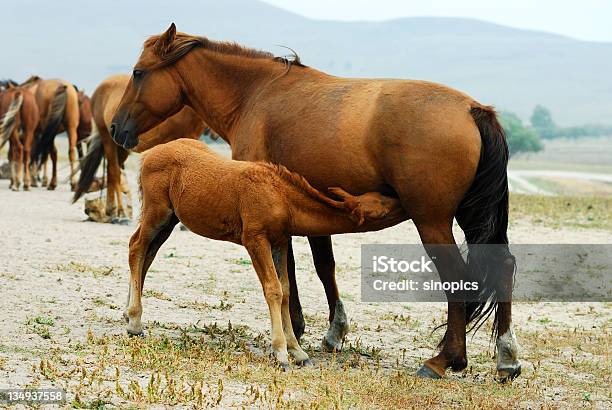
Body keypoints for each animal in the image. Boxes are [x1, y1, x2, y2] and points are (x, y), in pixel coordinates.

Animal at [127, 139, 406, 368]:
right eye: (382, 207)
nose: (401, 201)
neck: (282, 197)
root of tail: (149, 154)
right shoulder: (255, 239)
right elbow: (273, 289)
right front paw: (281, 353)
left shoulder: (280, 241)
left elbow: (286, 290)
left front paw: (297, 351)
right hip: (157, 212)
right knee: (136, 247)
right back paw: (135, 322)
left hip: (171, 219)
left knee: (148, 254)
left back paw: (129, 314)